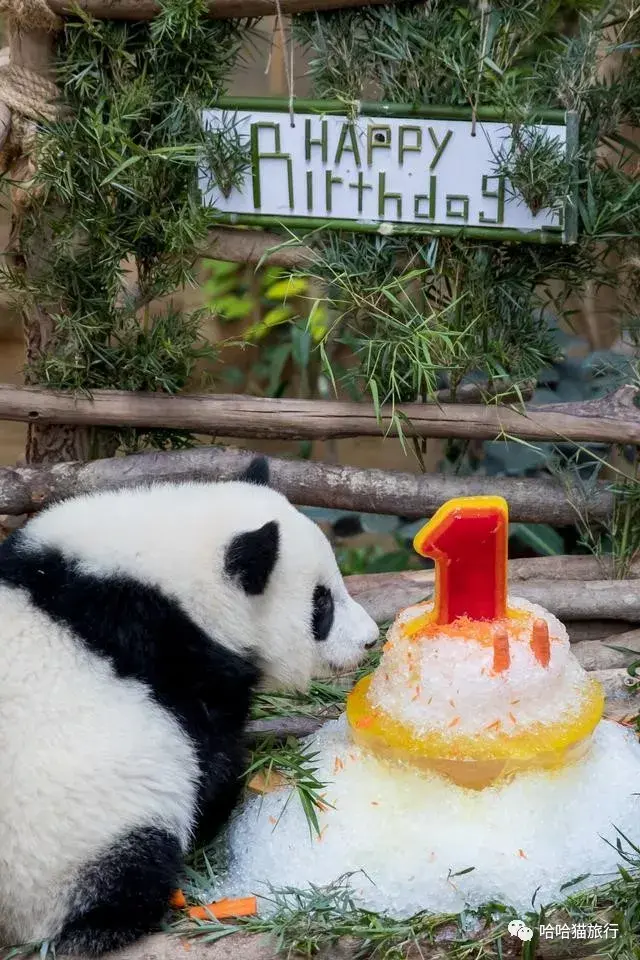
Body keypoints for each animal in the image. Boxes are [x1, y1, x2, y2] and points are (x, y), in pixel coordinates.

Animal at [0, 458, 380, 952]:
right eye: (322, 604)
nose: (369, 640)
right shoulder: (173, 654)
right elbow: (207, 758)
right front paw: (225, 798)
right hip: (64, 842)